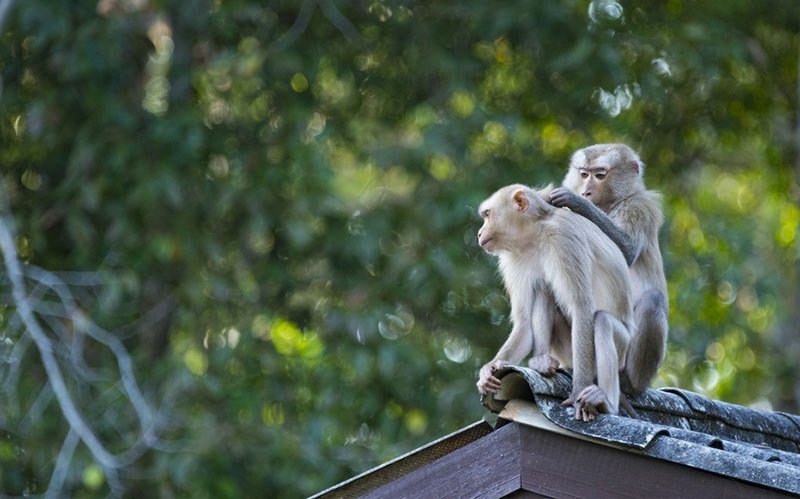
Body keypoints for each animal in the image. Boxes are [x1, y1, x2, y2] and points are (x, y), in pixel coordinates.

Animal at [476, 184, 632, 422]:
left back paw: (605, 403)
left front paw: (578, 392)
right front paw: (491, 368)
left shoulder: (562, 239)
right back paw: (542, 361)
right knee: (544, 288)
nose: (479, 232)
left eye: (487, 215)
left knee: (602, 321)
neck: (535, 234)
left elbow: (581, 307)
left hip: (623, 347)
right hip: (566, 351)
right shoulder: (513, 261)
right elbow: (524, 324)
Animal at [552, 143, 668, 396]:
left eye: (599, 175)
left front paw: (577, 203)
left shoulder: (639, 208)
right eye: (583, 174)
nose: (586, 191)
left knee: (652, 301)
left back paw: (629, 382)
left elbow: (627, 251)